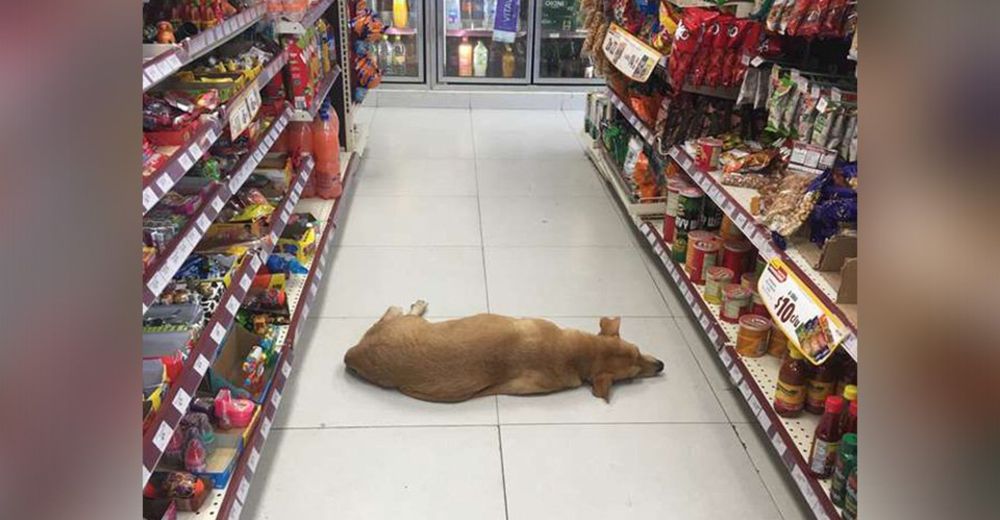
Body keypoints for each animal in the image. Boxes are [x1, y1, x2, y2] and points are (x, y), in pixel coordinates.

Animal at [344, 300, 664, 402]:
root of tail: (354, 353)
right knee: (394, 312)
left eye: (639, 351)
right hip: (406, 323)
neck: (577, 353)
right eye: (632, 375)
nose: (661, 365)